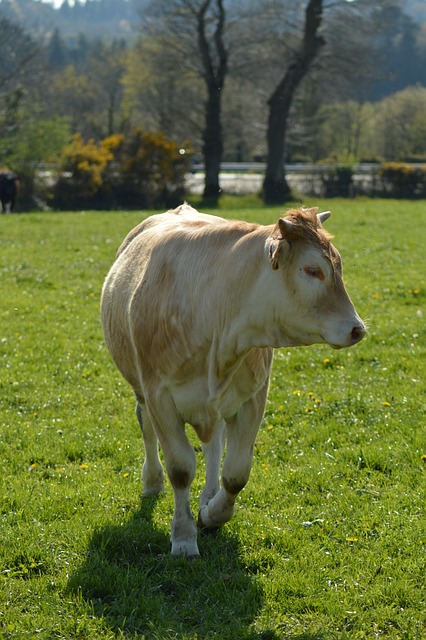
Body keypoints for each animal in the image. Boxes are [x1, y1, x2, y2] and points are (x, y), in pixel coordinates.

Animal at [100, 204, 366, 556]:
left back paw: (208, 495)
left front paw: (212, 515)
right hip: (141, 390)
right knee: (148, 431)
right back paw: (152, 482)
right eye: (312, 270)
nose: (357, 329)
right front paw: (183, 537)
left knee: (214, 443)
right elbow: (180, 469)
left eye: (338, 265)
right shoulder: (159, 397)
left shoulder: (253, 398)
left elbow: (236, 473)